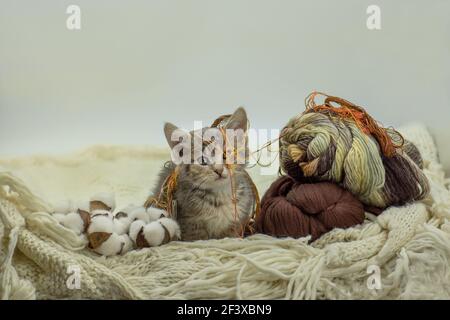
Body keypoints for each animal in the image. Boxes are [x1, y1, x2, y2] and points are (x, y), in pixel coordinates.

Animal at [152, 107, 255, 240]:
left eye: (225, 154)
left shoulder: (237, 223)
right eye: (202, 161)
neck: (220, 195)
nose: (218, 170)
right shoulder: (189, 225)